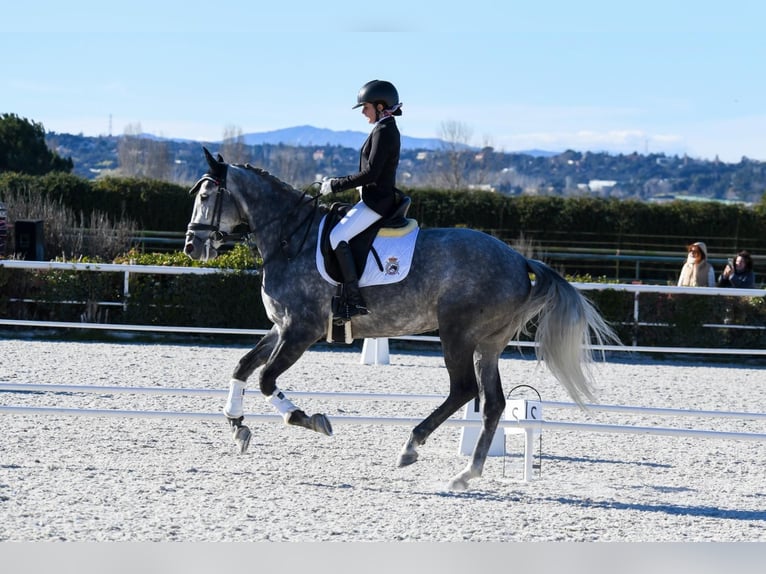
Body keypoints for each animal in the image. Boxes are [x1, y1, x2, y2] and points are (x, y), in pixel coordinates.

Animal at [184, 147, 618, 490]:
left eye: (206, 195)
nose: (192, 246)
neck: (290, 239)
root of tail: (519, 260)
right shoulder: (282, 327)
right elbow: (243, 366)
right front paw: (238, 425)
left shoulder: (302, 330)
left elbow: (266, 379)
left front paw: (307, 418)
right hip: (488, 343)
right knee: (492, 402)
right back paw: (465, 474)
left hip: (457, 334)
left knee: (464, 390)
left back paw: (411, 447)